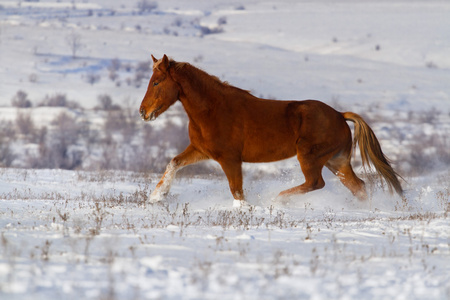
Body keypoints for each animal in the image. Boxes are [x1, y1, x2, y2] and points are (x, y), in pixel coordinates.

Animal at [139, 54, 402, 206]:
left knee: (316, 183)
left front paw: (245, 210)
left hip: (311, 157)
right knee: (358, 186)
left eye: (156, 82)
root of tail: (339, 115)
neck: (212, 109)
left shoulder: (230, 159)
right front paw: (156, 196)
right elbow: (173, 163)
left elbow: (237, 191)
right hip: (336, 161)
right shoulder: (200, 150)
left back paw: (278, 200)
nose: (143, 112)